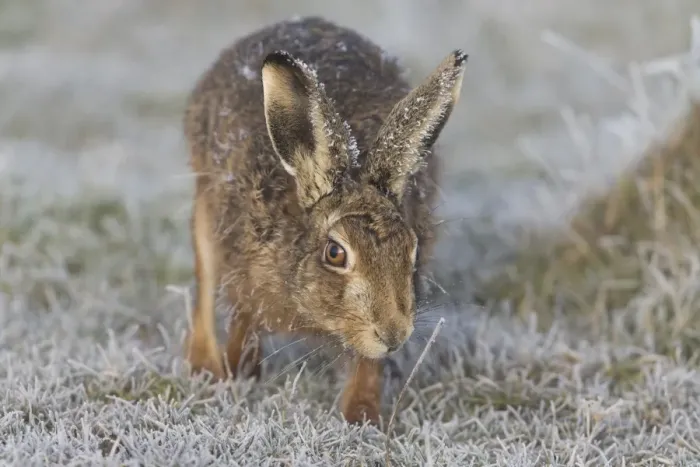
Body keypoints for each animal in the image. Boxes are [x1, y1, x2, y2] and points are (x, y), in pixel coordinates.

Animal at [182, 15, 466, 425]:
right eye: (335, 253)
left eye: (412, 250)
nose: (394, 334)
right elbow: (241, 318)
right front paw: (238, 371)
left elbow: (366, 363)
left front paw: (362, 415)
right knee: (204, 287)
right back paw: (206, 368)